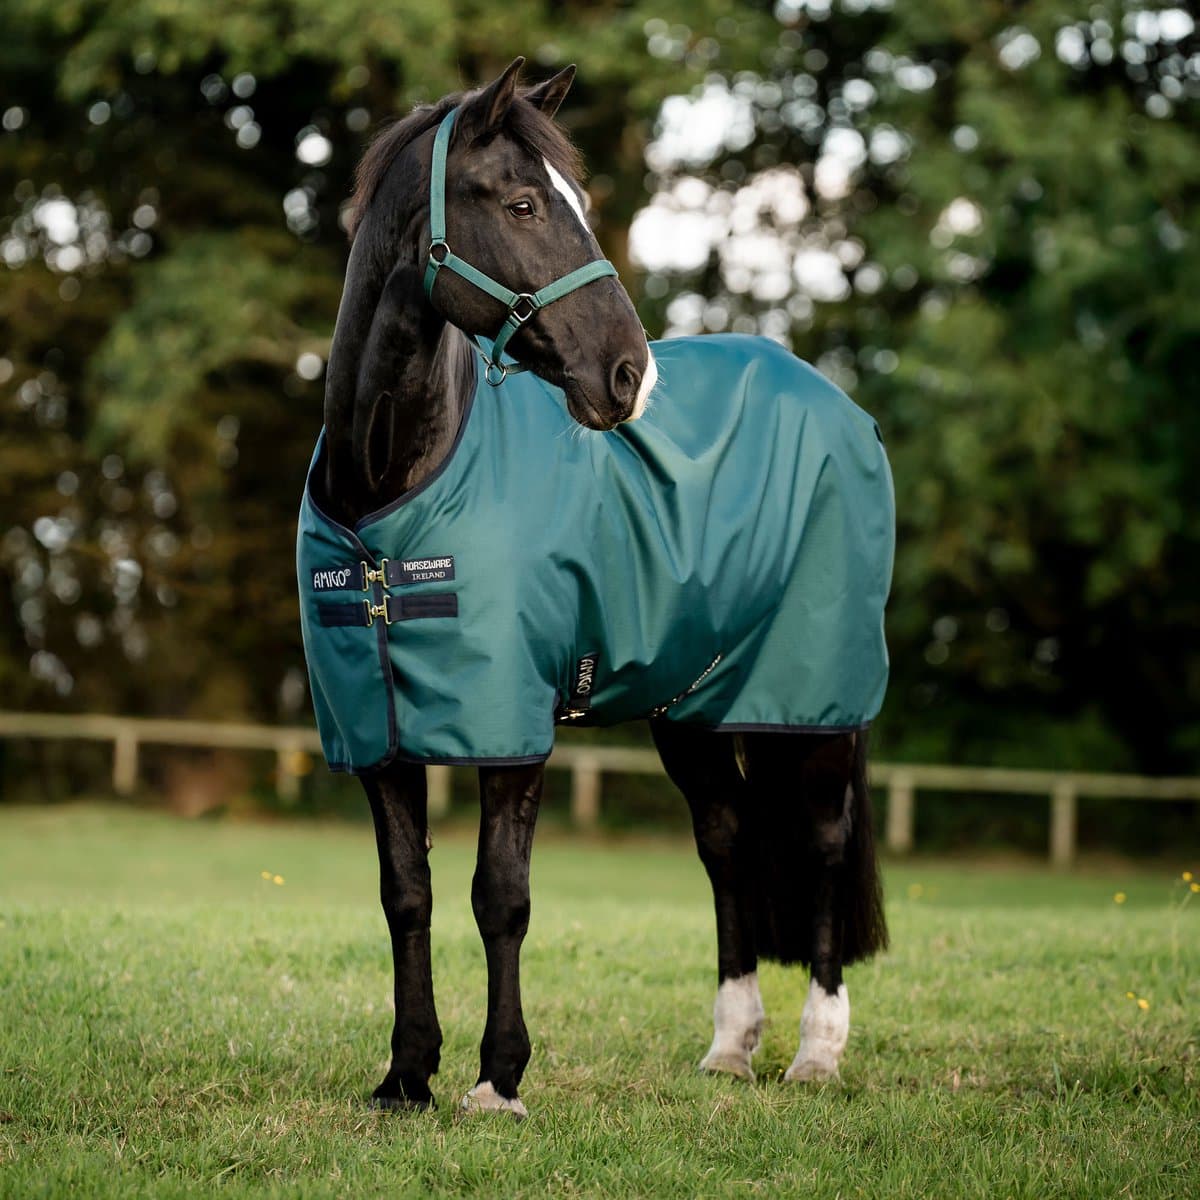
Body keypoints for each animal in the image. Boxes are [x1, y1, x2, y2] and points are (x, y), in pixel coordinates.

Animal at [299, 58, 893, 1117]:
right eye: (524, 203)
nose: (629, 376)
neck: (390, 497)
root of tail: (838, 404)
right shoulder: (376, 732)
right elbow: (406, 894)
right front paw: (406, 1074)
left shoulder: (512, 726)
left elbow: (501, 895)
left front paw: (498, 1079)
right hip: (692, 707)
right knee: (727, 840)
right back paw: (730, 1047)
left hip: (816, 701)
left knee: (822, 844)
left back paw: (817, 1051)